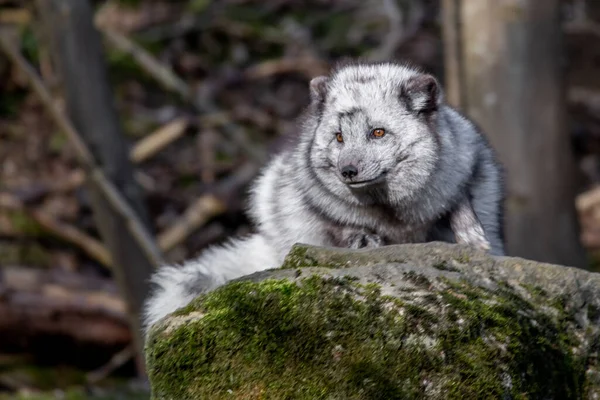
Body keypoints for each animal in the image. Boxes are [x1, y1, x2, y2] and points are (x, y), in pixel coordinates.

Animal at [143, 61, 504, 330]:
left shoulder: (467, 165)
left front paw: (471, 238)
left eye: (378, 132)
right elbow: (339, 226)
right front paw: (363, 239)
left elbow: (459, 203)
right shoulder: (313, 206)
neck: (391, 212)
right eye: (339, 137)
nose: (348, 171)